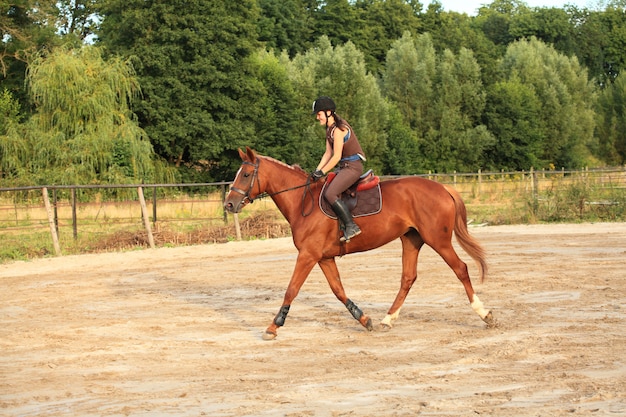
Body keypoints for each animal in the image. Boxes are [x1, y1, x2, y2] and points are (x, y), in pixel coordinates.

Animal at [223, 146, 492, 338]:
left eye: (245, 174)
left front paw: (273, 326)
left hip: (438, 239)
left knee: (460, 268)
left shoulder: (308, 255)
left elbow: (292, 289)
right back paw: (387, 319)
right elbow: (338, 290)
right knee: (408, 278)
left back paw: (484, 314)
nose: (229, 204)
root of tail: (443, 188)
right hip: (411, 239)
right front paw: (364, 319)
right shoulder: (324, 257)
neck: (302, 201)